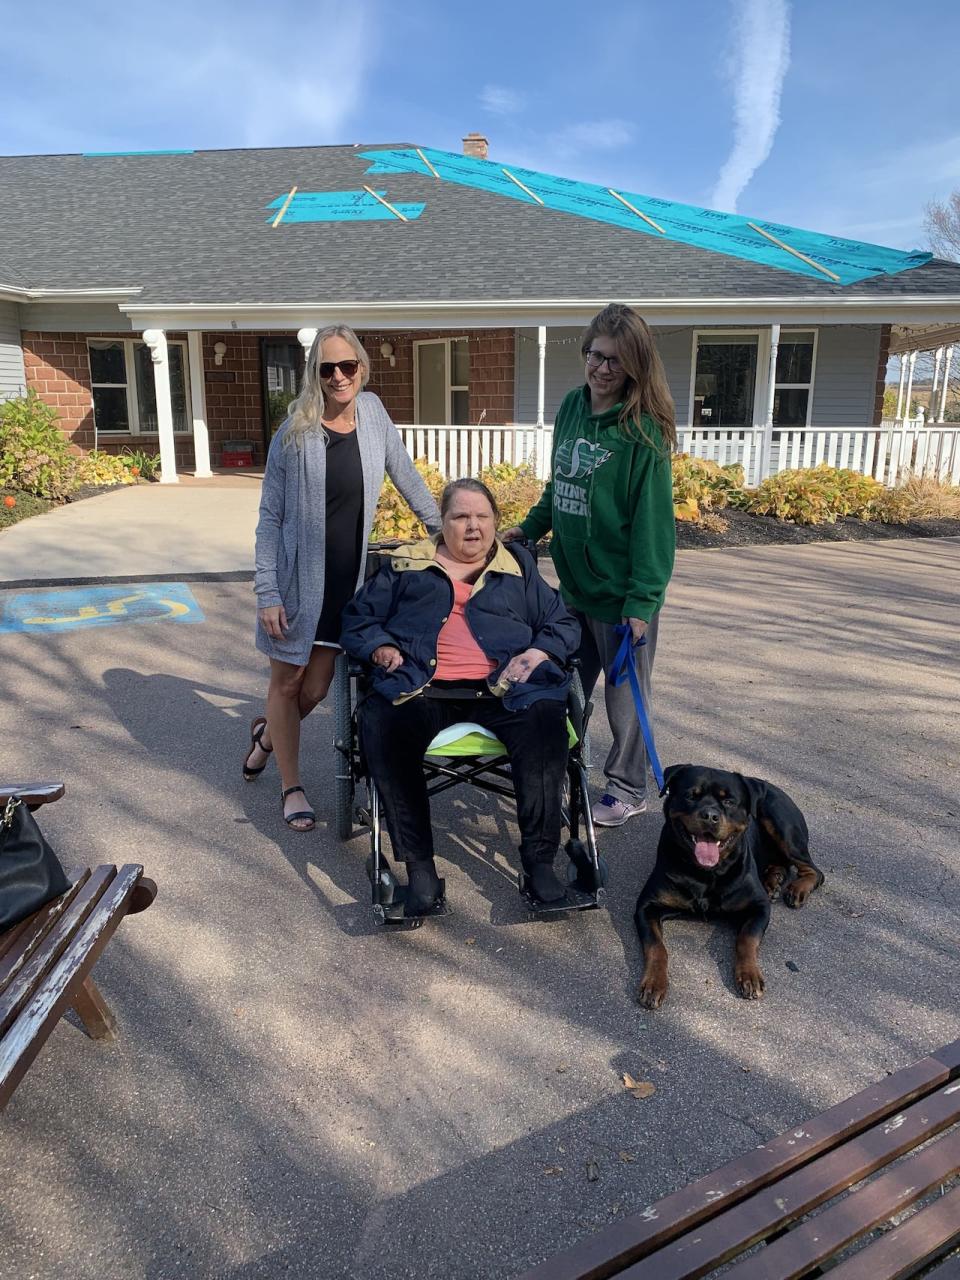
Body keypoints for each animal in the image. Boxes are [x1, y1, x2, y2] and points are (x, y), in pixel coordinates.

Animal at [632, 762, 829, 1003]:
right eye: (691, 796)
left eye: (728, 801)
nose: (710, 815)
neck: (705, 873)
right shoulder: (647, 906)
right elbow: (657, 947)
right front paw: (654, 982)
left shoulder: (759, 907)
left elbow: (746, 939)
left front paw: (750, 974)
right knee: (782, 863)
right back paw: (773, 881)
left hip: (781, 825)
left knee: (814, 870)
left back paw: (797, 888)